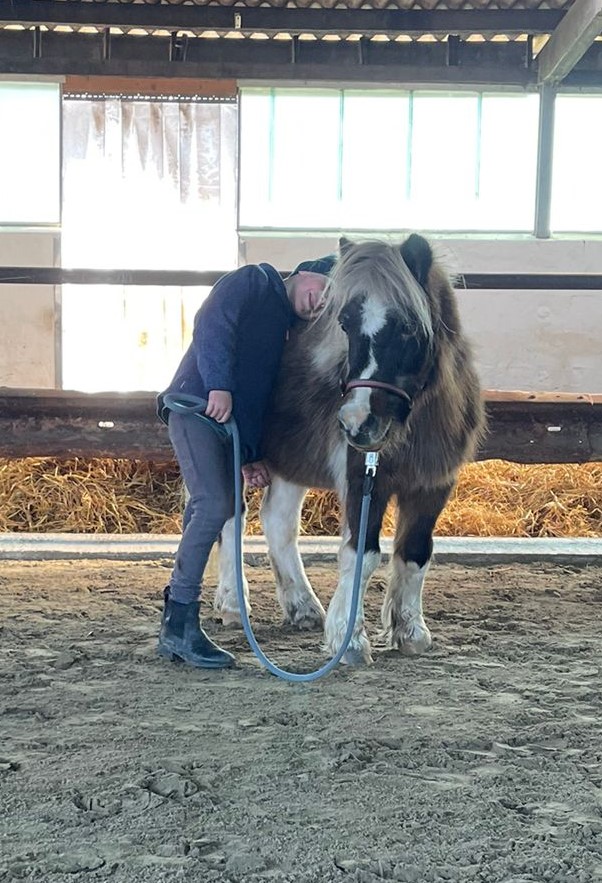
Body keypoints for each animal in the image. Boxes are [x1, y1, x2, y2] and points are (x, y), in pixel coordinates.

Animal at [215, 234, 486, 664]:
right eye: (344, 324)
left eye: (408, 326)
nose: (356, 422)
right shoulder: (362, 477)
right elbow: (362, 554)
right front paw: (350, 640)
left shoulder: (433, 484)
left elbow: (416, 552)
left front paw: (411, 631)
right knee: (229, 520)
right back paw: (231, 604)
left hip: (292, 461)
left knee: (278, 523)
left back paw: (303, 607)